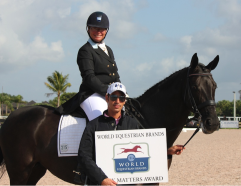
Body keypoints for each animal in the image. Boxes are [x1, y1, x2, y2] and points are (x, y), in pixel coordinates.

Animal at [0, 53, 219, 185]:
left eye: (215, 86)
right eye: (195, 87)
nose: (213, 124)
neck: (148, 122)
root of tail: (11, 116)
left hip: (36, 170)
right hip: (20, 171)